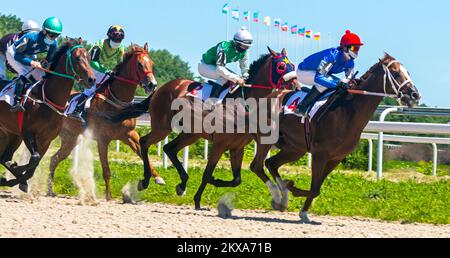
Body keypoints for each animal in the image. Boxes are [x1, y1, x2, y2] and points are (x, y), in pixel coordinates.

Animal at [0, 38, 96, 191]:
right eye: (77, 58)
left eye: (88, 58)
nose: (91, 79)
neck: (49, 99)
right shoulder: (28, 132)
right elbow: (34, 158)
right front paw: (17, 170)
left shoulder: (46, 140)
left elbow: (34, 165)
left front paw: (17, 180)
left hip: (12, 134)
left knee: (4, 157)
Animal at [47, 43, 165, 200]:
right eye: (139, 64)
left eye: (152, 63)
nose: (152, 84)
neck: (117, 103)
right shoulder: (102, 139)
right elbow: (106, 170)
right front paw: (108, 196)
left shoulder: (129, 134)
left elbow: (144, 155)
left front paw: (158, 178)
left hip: (70, 139)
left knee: (54, 159)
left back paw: (50, 190)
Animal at [110, 46, 298, 208]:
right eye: (281, 66)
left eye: (293, 65)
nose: (296, 86)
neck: (243, 104)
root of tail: (160, 88)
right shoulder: (220, 144)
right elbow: (207, 173)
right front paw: (198, 200)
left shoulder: (237, 147)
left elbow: (236, 180)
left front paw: (212, 183)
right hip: (163, 127)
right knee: (144, 142)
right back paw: (146, 181)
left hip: (191, 133)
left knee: (169, 148)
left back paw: (182, 184)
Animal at [250, 54, 422, 224]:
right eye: (396, 73)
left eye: (408, 73)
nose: (415, 95)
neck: (347, 111)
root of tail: (267, 98)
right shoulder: (320, 154)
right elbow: (314, 188)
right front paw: (292, 188)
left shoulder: (336, 158)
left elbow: (316, 189)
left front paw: (302, 210)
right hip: (267, 138)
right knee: (257, 166)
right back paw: (278, 196)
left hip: (295, 149)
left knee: (271, 163)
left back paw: (282, 198)